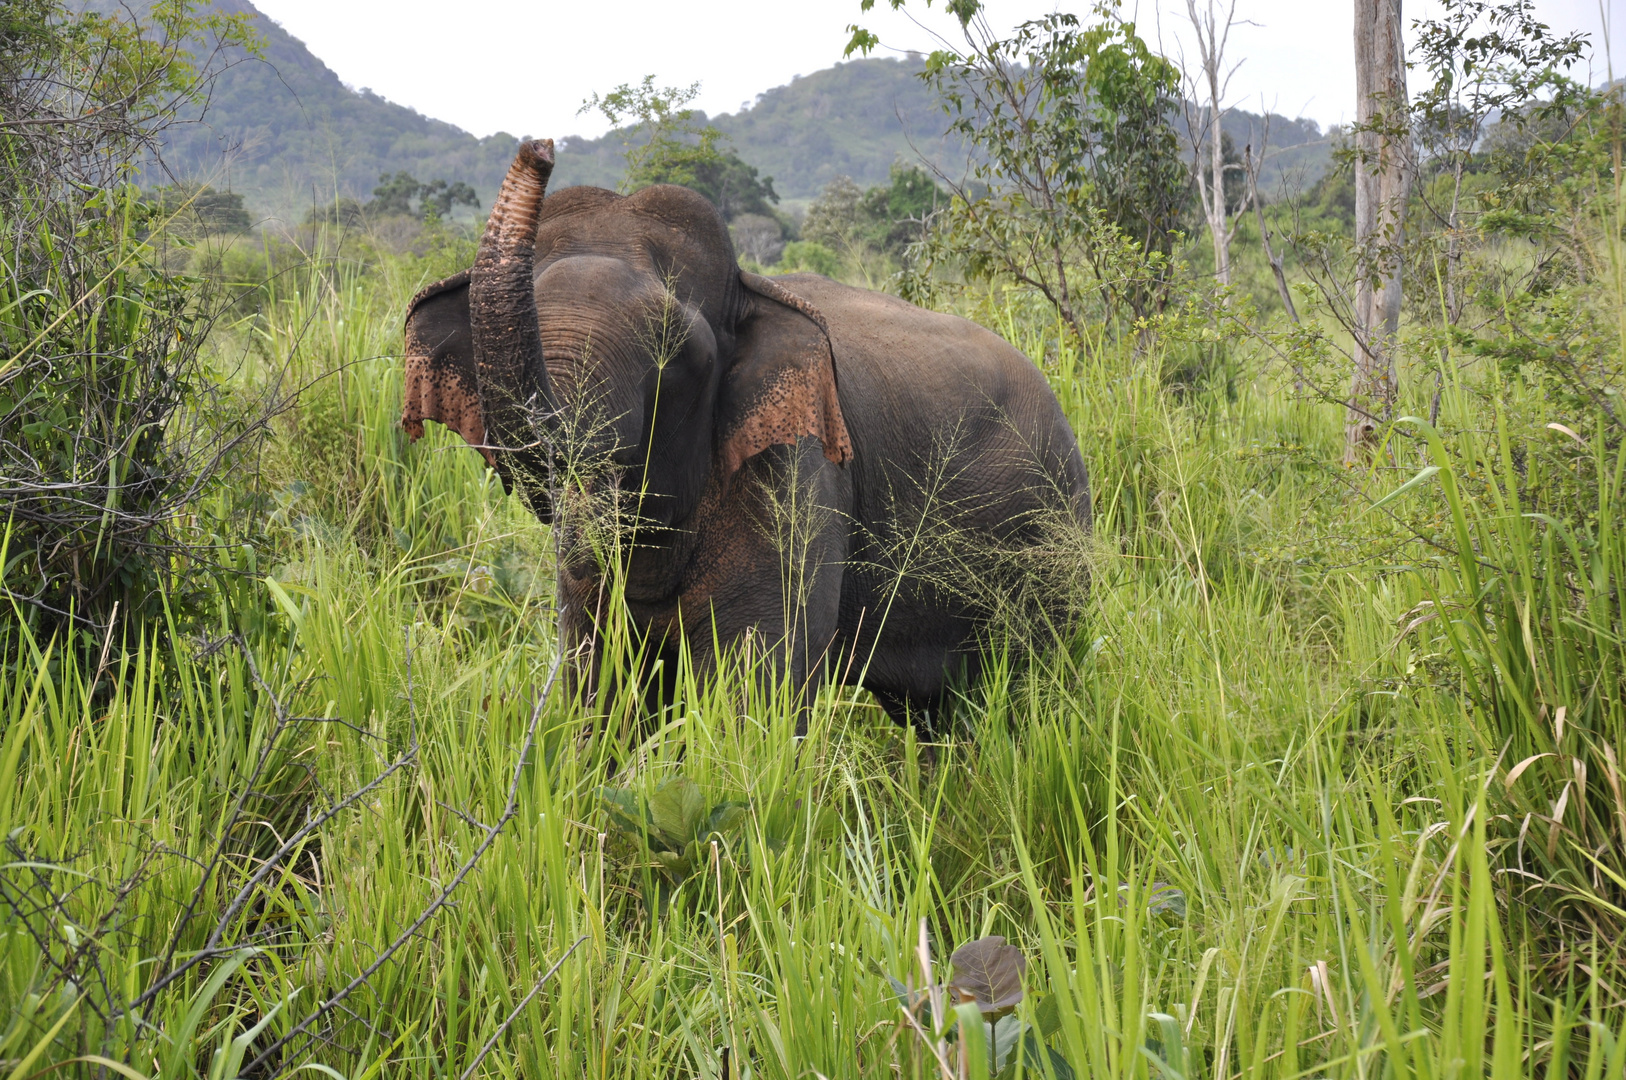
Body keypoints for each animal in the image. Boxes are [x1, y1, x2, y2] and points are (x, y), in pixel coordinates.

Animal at [401, 135, 1092, 725]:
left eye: (672, 349)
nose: (540, 146)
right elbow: (602, 692)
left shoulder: (797, 472)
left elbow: (755, 700)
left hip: (1053, 537)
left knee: (1028, 697)